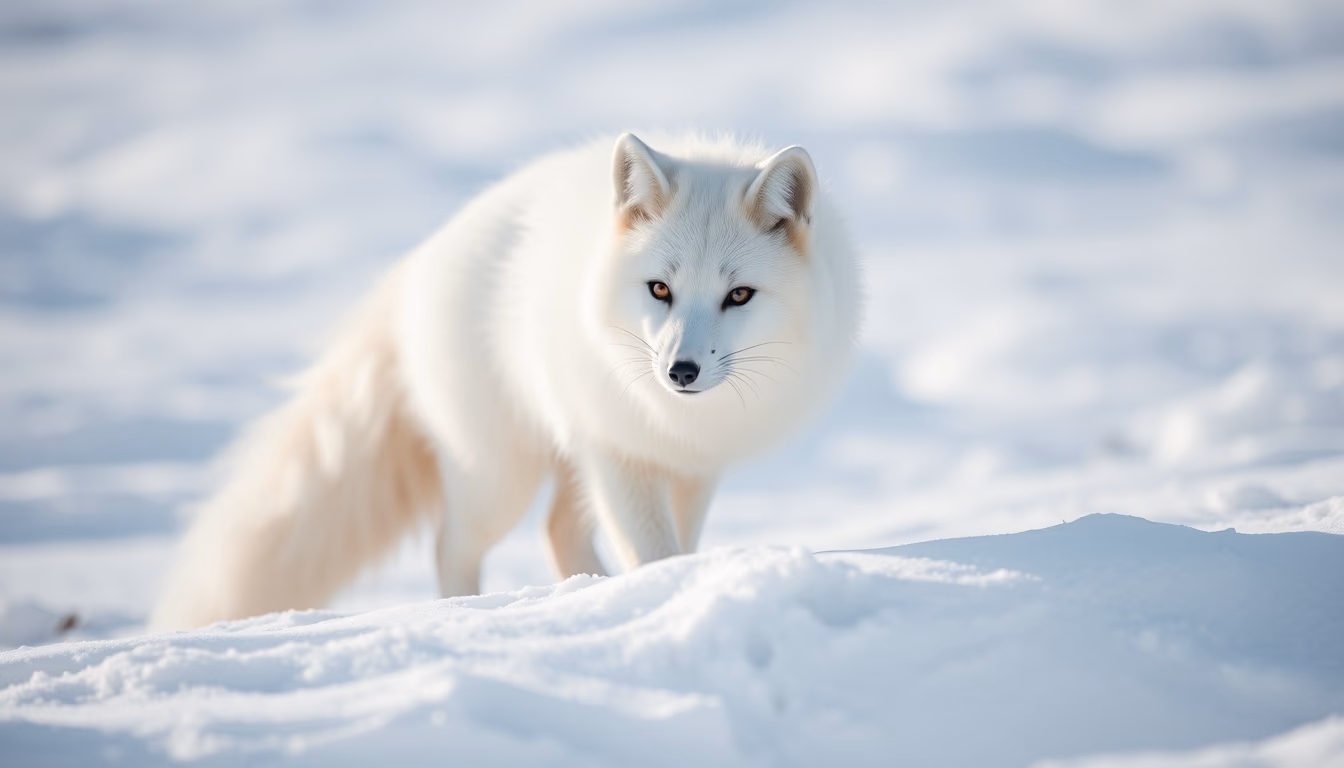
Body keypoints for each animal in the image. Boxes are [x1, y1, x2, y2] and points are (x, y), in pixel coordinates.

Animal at [151, 133, 861, 630]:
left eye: (739, 295)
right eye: (660, 289)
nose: (679, 371)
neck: (677, 421)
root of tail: (419, 263)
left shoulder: (691, 467)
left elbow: (679, 552)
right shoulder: (620, 454)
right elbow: (656, 554)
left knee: (557, 531)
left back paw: (588, 596)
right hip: (501, 475)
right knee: (452, 545)